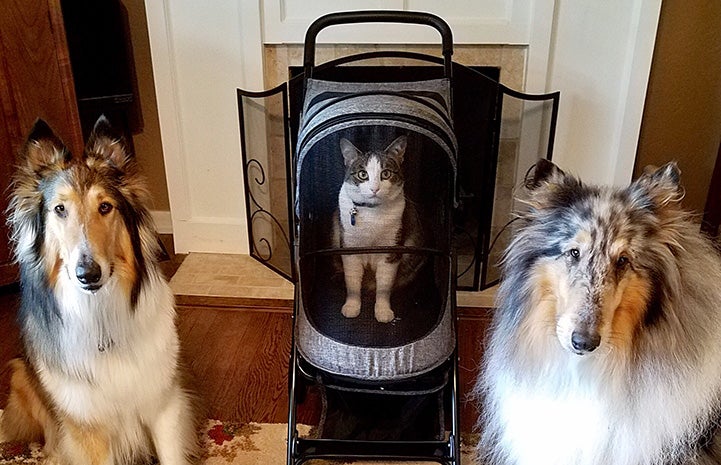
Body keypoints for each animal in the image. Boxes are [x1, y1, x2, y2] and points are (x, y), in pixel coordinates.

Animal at [0, 117, 197, 464]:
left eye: (105, 207)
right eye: (59, 209)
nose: (88, 274)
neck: (101, 314)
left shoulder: (164, 405)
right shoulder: (87, 428)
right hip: (20, 374)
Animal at [334, 134, 420, 322]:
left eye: (386, 173)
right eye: (362, 174)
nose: (375, 188)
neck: (372, 214)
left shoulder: (391, 250)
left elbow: (384, 286)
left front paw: (383, 311)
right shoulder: (349, 248)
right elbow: (352, 282)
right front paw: (351, 306)